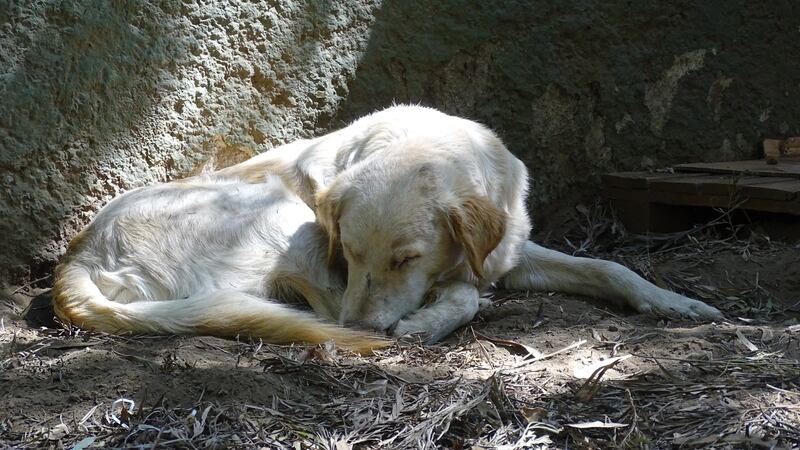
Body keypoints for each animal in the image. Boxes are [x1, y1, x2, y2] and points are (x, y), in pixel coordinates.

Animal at [53, 104, 720, 348]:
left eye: (405, 257)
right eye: (349, 253)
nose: (364, 327)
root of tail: (78, 256)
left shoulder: (512, 251)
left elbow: (609, 265)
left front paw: (675, 303)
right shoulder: (333, 256)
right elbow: (463, 294)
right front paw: (430, 318)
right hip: (285, 220)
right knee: (316, 305)